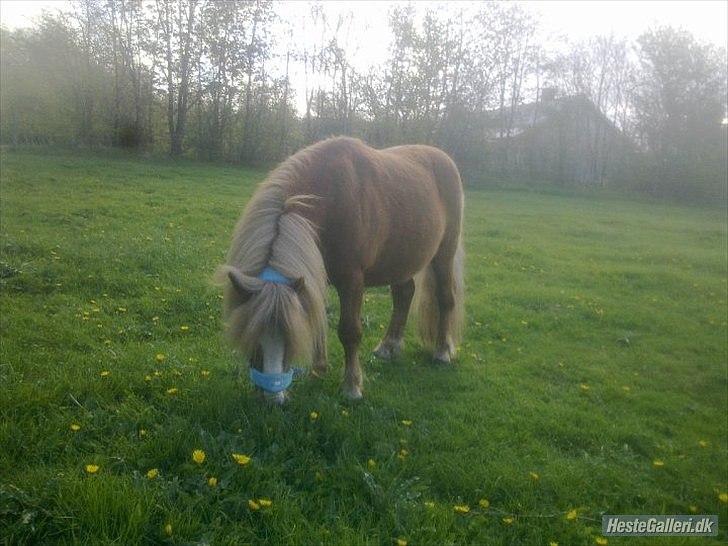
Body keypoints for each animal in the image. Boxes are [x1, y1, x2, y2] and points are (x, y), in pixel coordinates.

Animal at [218, 134, 466, 402]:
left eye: (291, 337)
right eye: (251, 335)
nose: (272, 398)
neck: (329, 198)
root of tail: (445, 159)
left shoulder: (352, 280)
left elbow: (350, 331)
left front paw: (351, 387)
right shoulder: (314, 278)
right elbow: (318, 319)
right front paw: (318, 369)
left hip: (444, 253)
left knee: (445, 297)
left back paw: (442, 351)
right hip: (400, 259)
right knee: (404, 294)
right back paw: (389, 346)